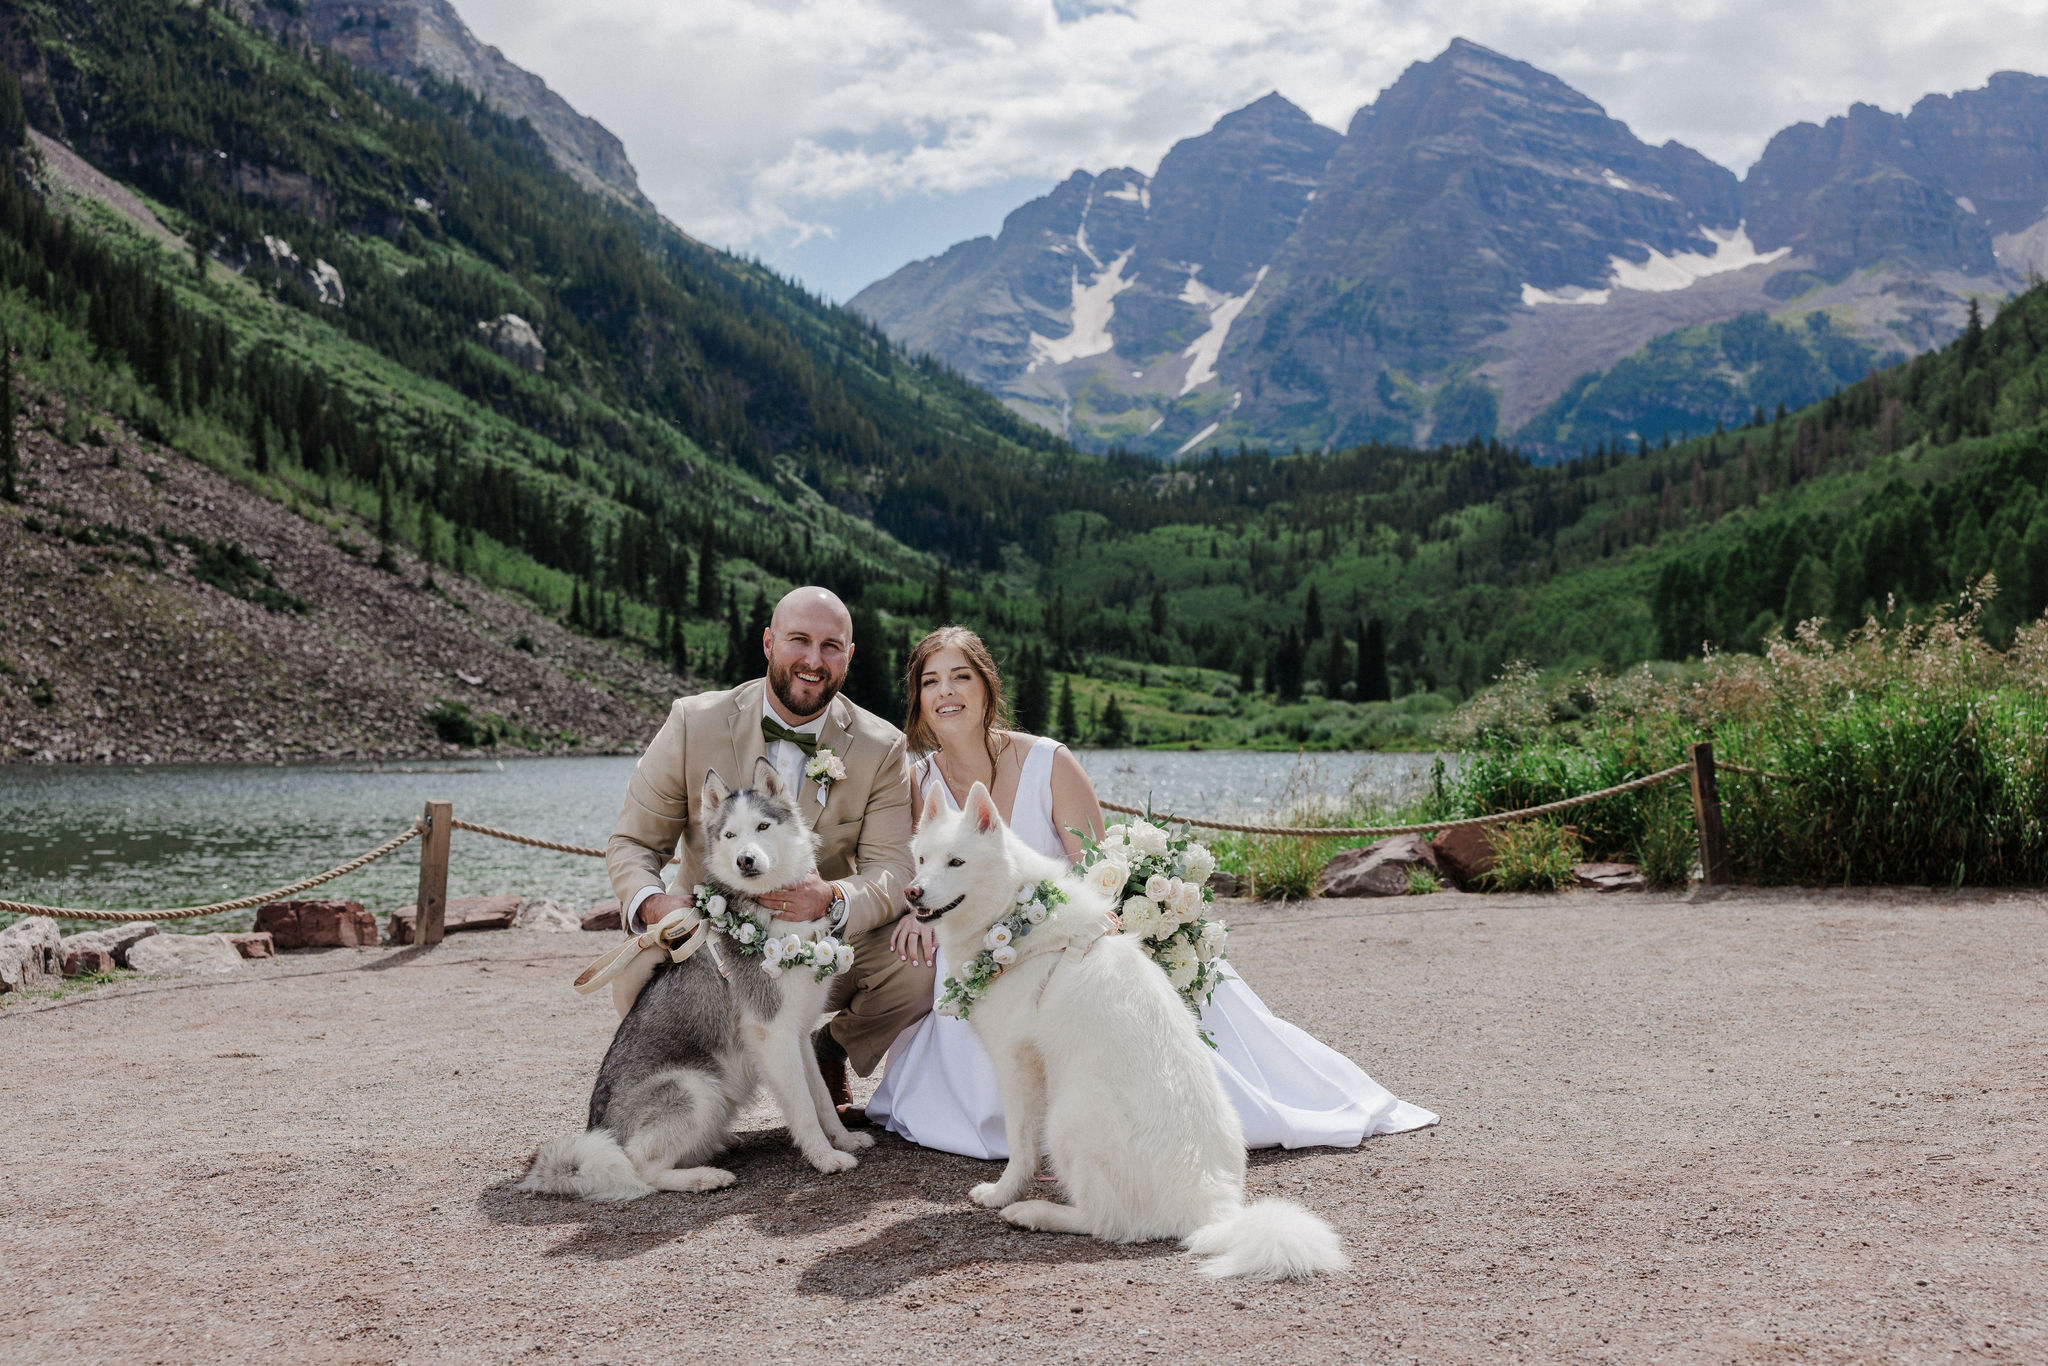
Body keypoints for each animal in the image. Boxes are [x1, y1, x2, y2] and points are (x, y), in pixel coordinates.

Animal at [905, 778, 1351, 1286]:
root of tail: (1211, 1210)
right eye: (923, 859)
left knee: (1107, 1223)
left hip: (1068, 1116)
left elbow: (1019, 1147)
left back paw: (1035, 1212)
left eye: (957, 862)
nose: (912, 893)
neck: (1019, 922)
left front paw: (1002, 1193)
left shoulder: (1015, 1064)